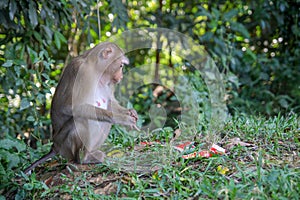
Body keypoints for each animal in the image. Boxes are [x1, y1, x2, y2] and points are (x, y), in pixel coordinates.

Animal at [23, 41, 139, 173]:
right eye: (120, 66)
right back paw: (84, 158)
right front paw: (122, 118)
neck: (96, 70)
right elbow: (69, 107)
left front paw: (130, 112)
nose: (121, 77)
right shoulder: (81, 71)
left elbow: (110, 102)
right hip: (65, 146)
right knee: (82, 118)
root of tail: (55, 146)